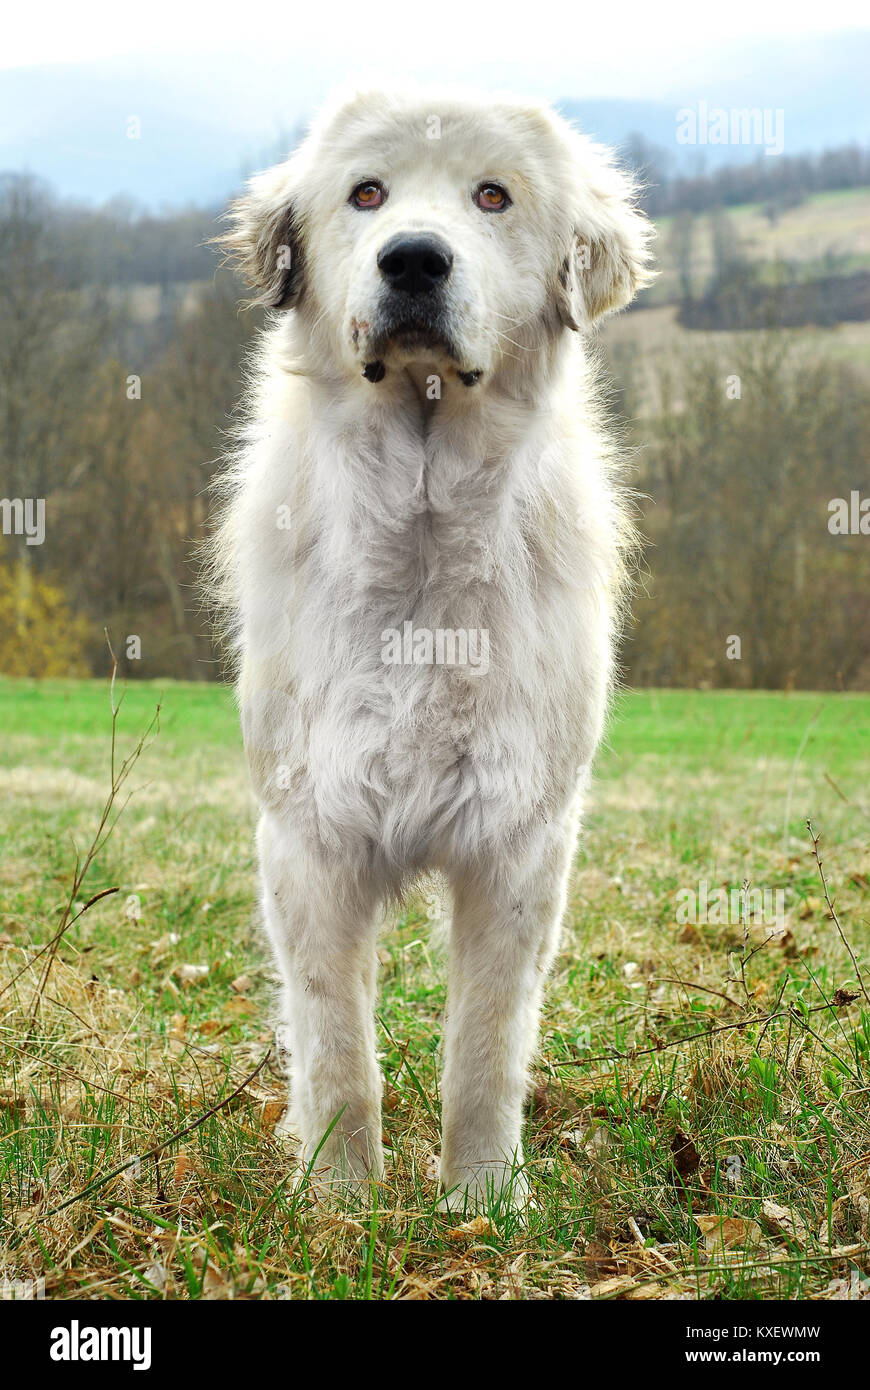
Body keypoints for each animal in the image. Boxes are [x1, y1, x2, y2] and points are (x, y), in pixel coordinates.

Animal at [211, 92, 650, 1212]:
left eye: (492, 196)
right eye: (366, 194)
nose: (413, 259)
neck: (419, 524)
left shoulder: (517, 843)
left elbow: (485, 1047)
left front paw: (482, 1203)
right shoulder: (309, 838)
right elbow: (336, 1048)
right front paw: (339, 1202)